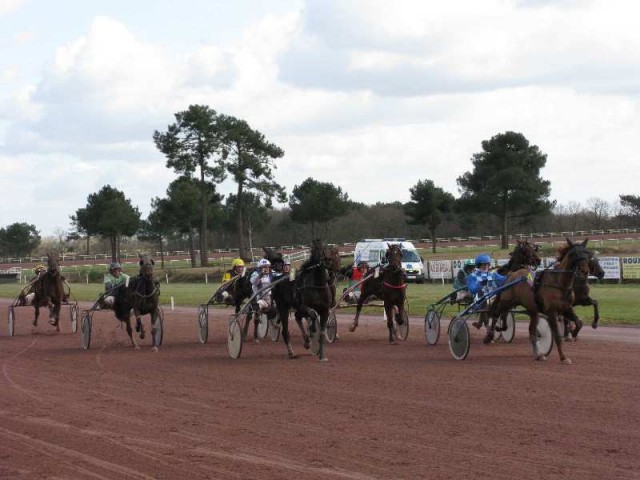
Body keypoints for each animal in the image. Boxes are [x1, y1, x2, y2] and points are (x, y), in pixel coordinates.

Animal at [490, 236, 592, 364]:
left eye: (587, 253)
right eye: (575, 254)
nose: (585, 271)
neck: (559, 283)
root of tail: (511, 275)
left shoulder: (567, 308)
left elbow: (580, 323)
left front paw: (572, 334)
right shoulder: (551, 312)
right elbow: (557, 336)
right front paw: (563, 357)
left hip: (531, 310)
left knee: (530, 331)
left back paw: (538, 354)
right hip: (506, 301)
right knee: (496, 312)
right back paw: (491, 334)